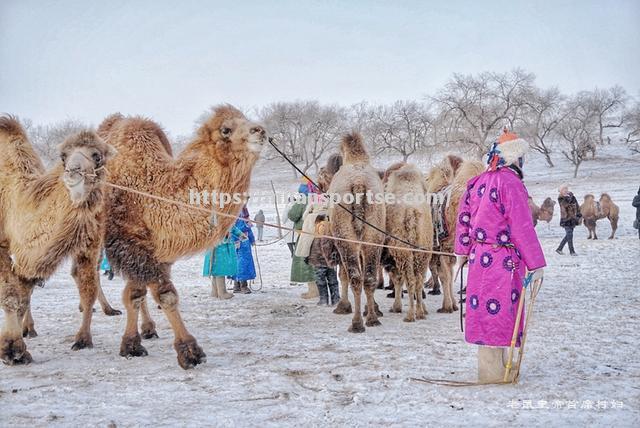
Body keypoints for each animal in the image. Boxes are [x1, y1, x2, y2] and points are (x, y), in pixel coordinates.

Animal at [0, 114, 117, 364]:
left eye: (97, 155)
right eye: (63, 156)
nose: (73, 172)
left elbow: (87, 288)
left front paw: (82, 340)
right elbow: (11, 294)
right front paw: (12, 350)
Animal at [100, 106, 264, 368]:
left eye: (245, 120)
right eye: (226, 129)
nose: (260, 130)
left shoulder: (156, 248)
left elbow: (139, 293)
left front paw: (133, 343)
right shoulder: (130, 243)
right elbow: (158, 295)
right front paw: (189, 352)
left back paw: (148, 329)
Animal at [330, 132, 384, 332]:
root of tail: (358, 184)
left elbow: (343, 275)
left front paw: (343, 306)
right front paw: (372, 308)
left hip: (345, 236)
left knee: (354, 277)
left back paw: (356, 323)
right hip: (373, 235)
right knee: (368, 277)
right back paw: (372, 319)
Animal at [382, 164, 432, 320]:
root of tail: (411, 212)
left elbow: (397, 279)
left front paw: (396, 307)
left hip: (403, 252)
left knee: (409, 279)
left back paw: (410, 315)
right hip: (422, 253)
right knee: (418, 280)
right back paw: (420, 312)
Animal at [428, 155, 482, 312]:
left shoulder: (443, 245)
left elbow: (444, 274)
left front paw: (447, 306)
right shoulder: (448, 247)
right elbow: (449, 273)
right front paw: (452, 304)